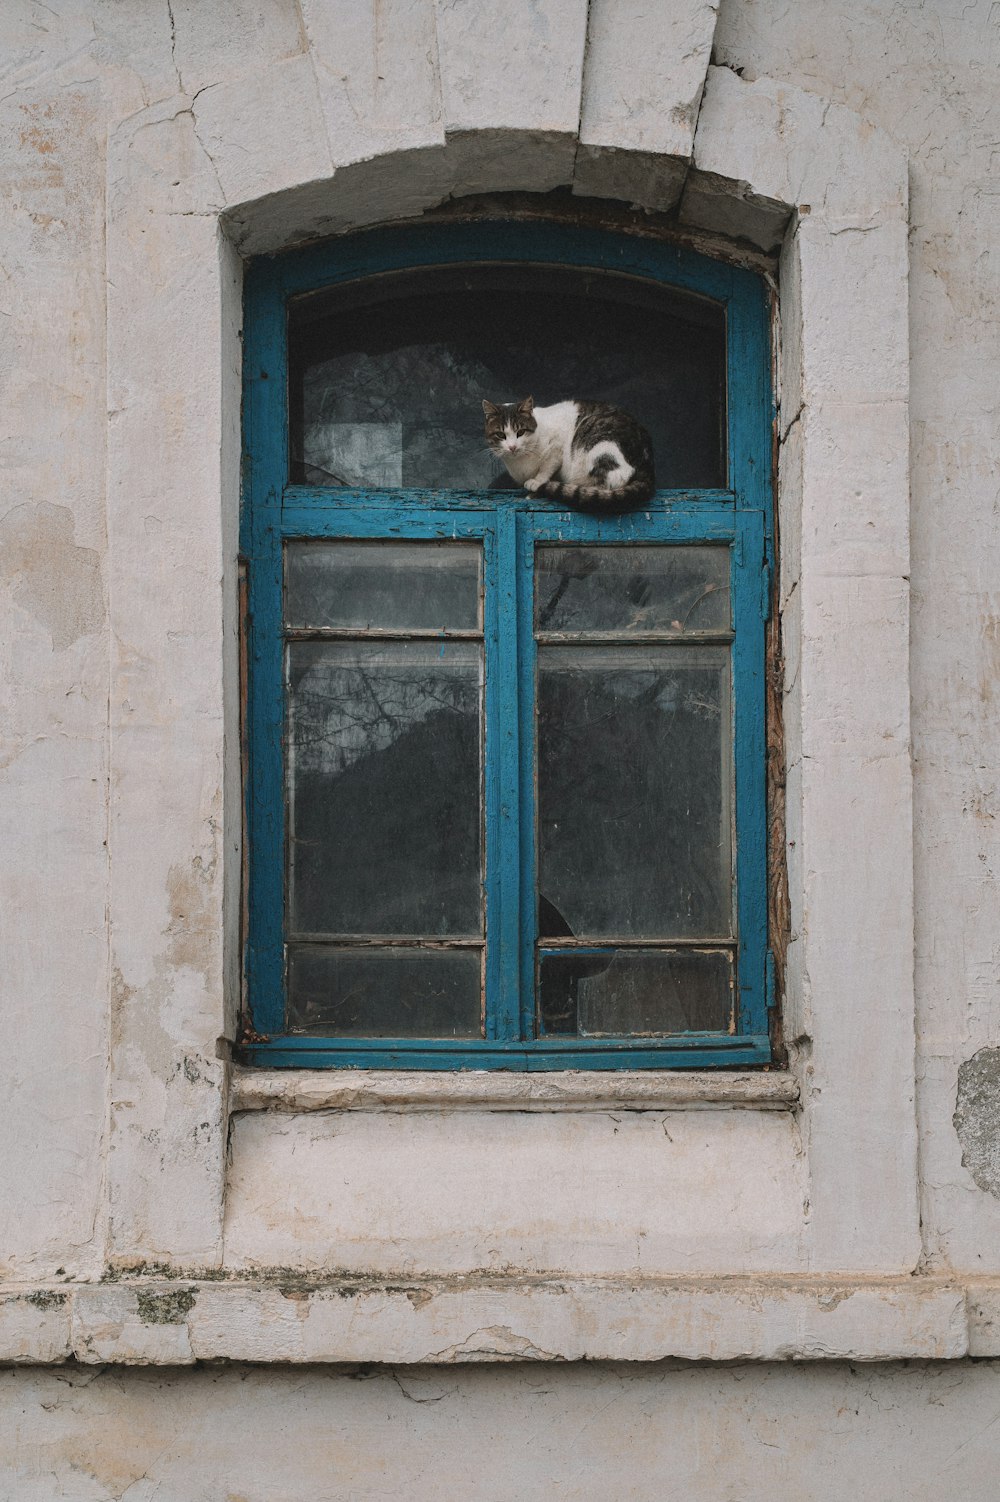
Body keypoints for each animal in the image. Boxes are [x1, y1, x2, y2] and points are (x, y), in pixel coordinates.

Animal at [480, 393, 654, 510]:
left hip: (599, 443)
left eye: (520, 432)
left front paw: (537, 483)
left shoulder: (556, 448)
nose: (512, 447)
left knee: (615, 479)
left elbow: (546, 468)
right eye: (501, 435)